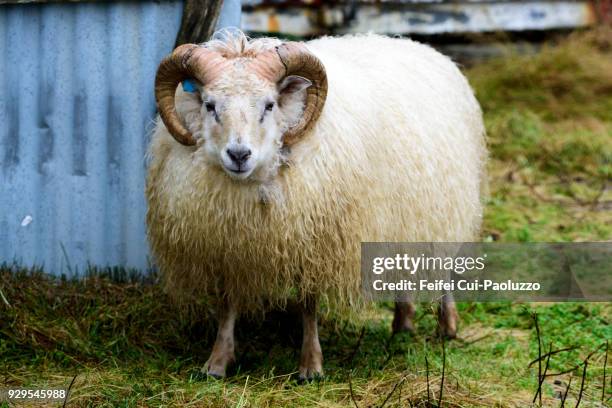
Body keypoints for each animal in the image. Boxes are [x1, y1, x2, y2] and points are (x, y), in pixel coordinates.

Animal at [146, 31, 486, 380]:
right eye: (209, 105)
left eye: (269, 105)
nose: (239, 155)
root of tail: (420, 46)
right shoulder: (227, 248)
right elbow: (228, 305)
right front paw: (217, 362)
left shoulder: (316, 243)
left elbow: (308, 307)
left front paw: (310, 365)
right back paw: (403, 323)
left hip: (444, 210)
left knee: (444, 267)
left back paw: (447, 325)